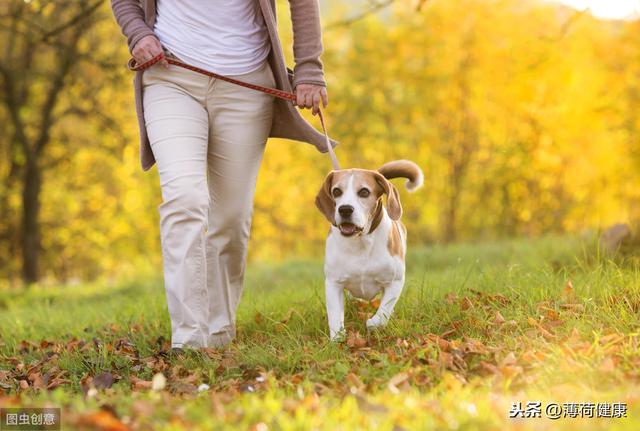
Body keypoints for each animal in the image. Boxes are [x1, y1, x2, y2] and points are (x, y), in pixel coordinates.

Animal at [316, 160, 424, 340]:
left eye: (364, 192)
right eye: (336, 191)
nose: (345, 209)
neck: (361, 241)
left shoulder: (395, 281)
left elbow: (384, 312)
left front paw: (372, 323)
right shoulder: (333, 283)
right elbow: (335, 316)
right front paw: (337, 339)